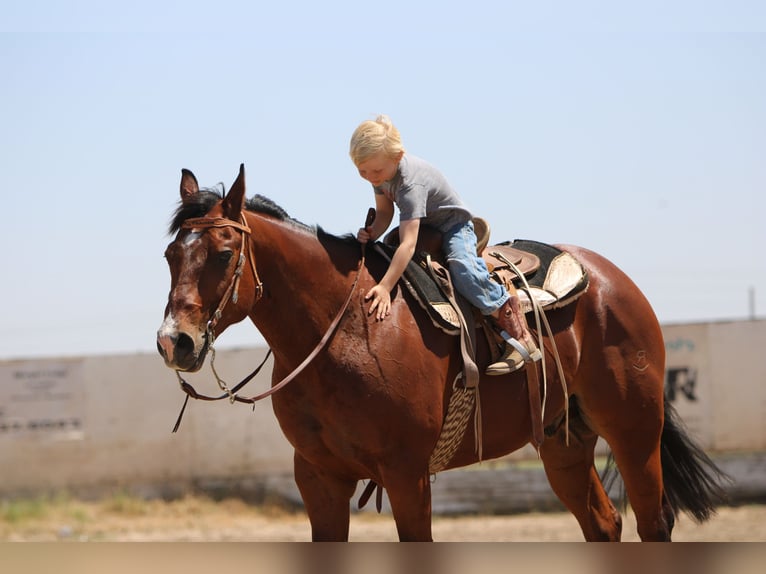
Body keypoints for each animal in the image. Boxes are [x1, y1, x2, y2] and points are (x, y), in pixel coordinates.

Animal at [158, 164, 732, 544]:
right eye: (169, 255)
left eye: (224, 254)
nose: (174, 341)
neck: (345, 330)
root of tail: (614, 281)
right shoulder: (319, 478)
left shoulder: (407, 474)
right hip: (563, 440)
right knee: (604, 524)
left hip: (634, 429)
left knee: (653, 522)